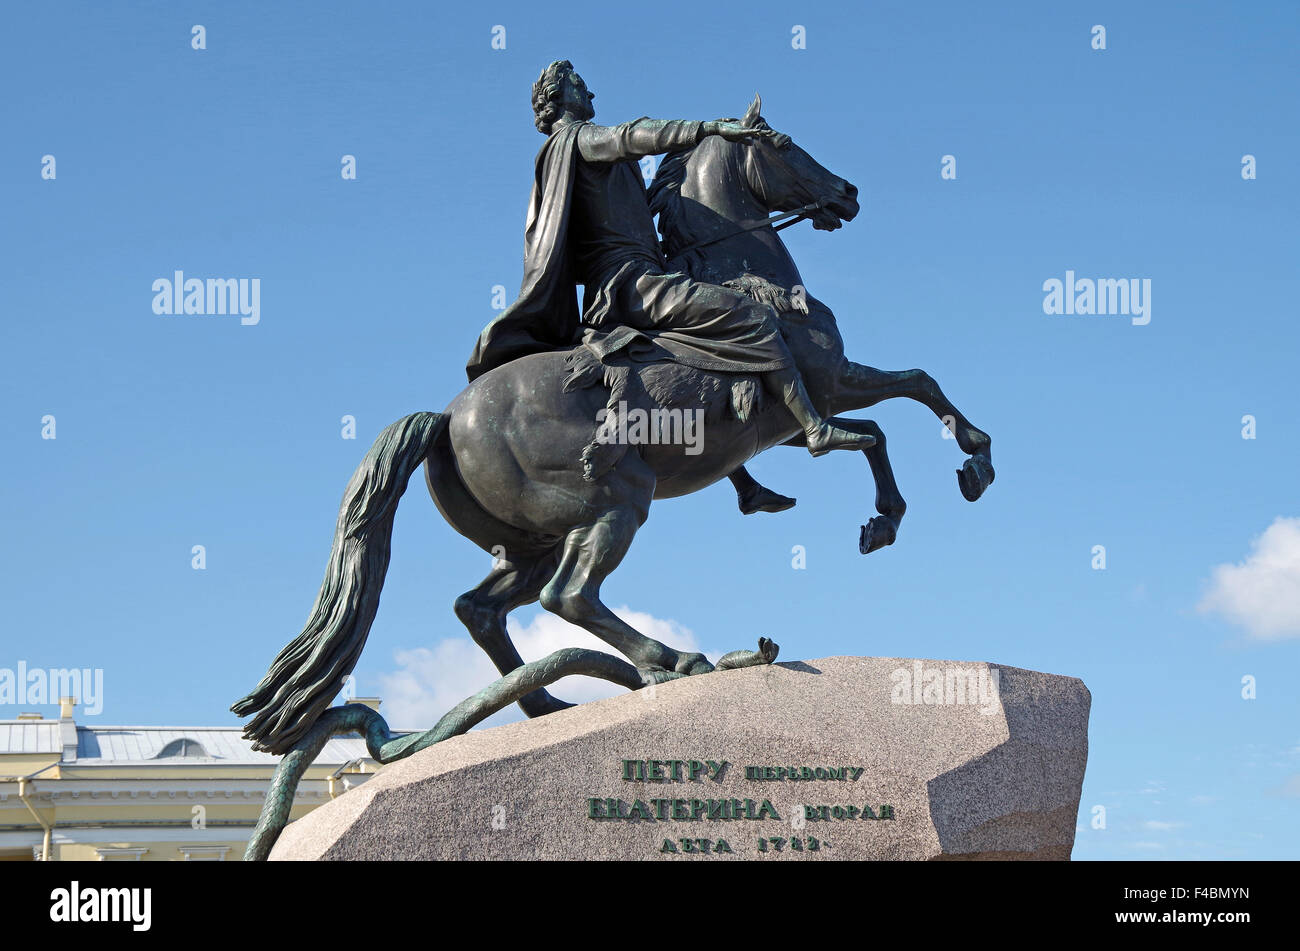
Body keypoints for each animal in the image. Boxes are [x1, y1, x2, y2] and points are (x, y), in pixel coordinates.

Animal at [233, 94, 993, 758]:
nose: (847, 192)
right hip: (615, 500)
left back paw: (548, 704)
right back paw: (676, 660)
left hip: (532, 540)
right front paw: (960, 469)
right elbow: (897, 402)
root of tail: (447, 417)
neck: (746, 270)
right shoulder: (825, 381)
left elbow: (885, 421)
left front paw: (885, 510)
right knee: (569, 595)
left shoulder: (804, 404)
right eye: (782, 145)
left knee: (482, 609)